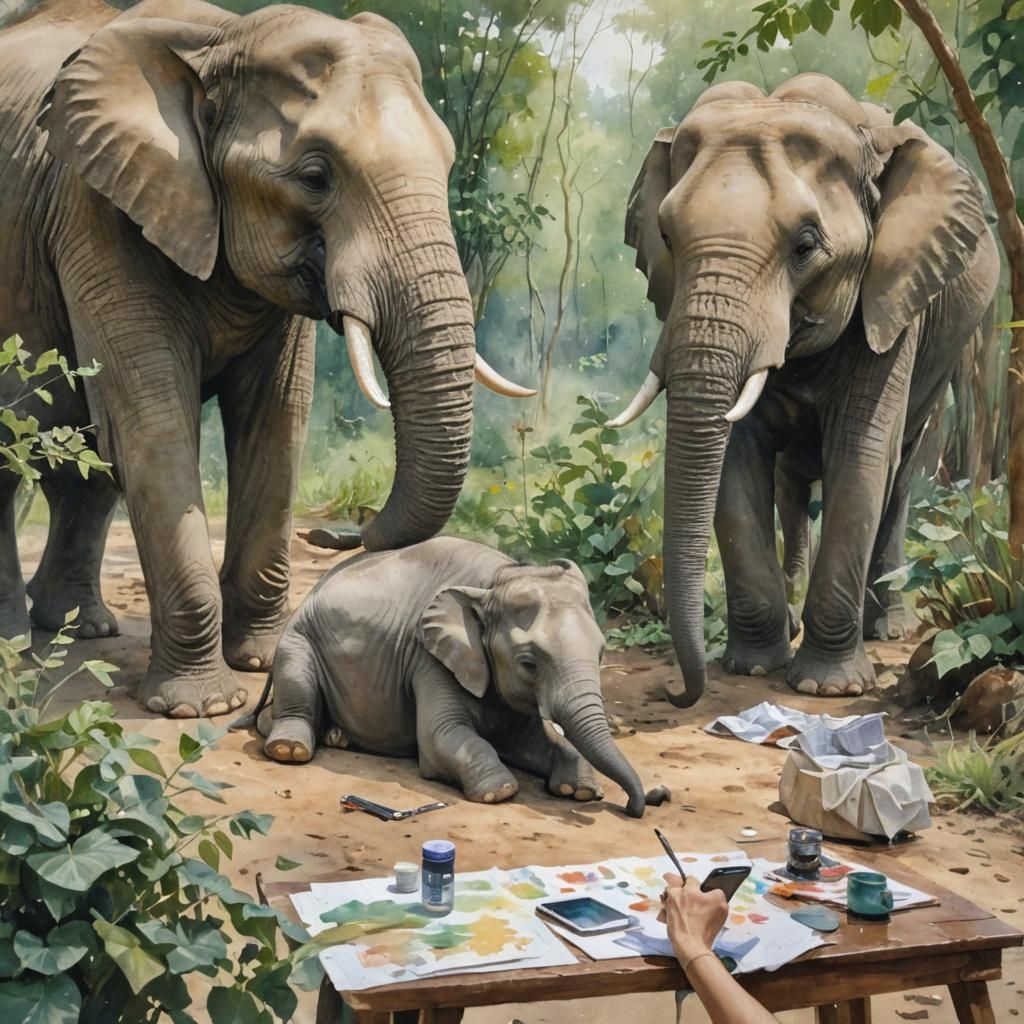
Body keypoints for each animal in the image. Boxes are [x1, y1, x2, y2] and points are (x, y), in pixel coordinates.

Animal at [0, 0, 530, 717]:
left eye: (448, 165)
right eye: (315, 177)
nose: (332, 534)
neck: (224, 38)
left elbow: (277, 417)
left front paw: (255, 661)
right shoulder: (94, 208)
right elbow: (152, 418)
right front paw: (199, 707)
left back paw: (81, 629)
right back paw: (18, 641)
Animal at [232, 537, 665, 818]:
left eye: (602, 652)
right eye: (529, 663)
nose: (641, 804)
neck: (496, 579)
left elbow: (535, 739)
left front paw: (580, 790)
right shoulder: (429, 659)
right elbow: (442, 737)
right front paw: (499, 791)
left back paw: (336, 737)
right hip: (299, 641)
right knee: (296, 689)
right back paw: (290, 749)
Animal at [610, 73, 999, 704]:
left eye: (805, 246)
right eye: (665, 235)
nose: (675, 694)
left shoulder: (892, 299)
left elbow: (861, 457)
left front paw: (827, 689)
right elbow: (737, 459)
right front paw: (753, 668)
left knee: (900, 474)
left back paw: (888, 627)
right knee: (792, 484)